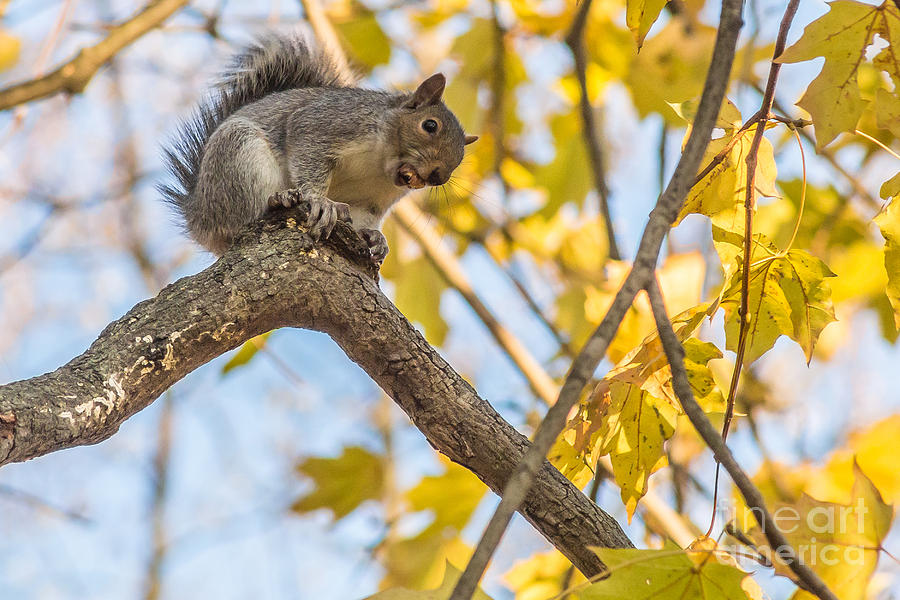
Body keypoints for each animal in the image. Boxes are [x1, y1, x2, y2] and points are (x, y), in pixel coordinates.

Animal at [160, 35, 478, 258]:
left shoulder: (371, 200)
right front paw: (320, 200)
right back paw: (278, 199)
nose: (439, 176)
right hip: (237, 156)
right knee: (242, 219)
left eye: (460, 159)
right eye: (430, 125)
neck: (379, 164)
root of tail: (198, 215)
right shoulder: (325, 124)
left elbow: (364, 217)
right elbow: (307, 154)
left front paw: (376, 239)